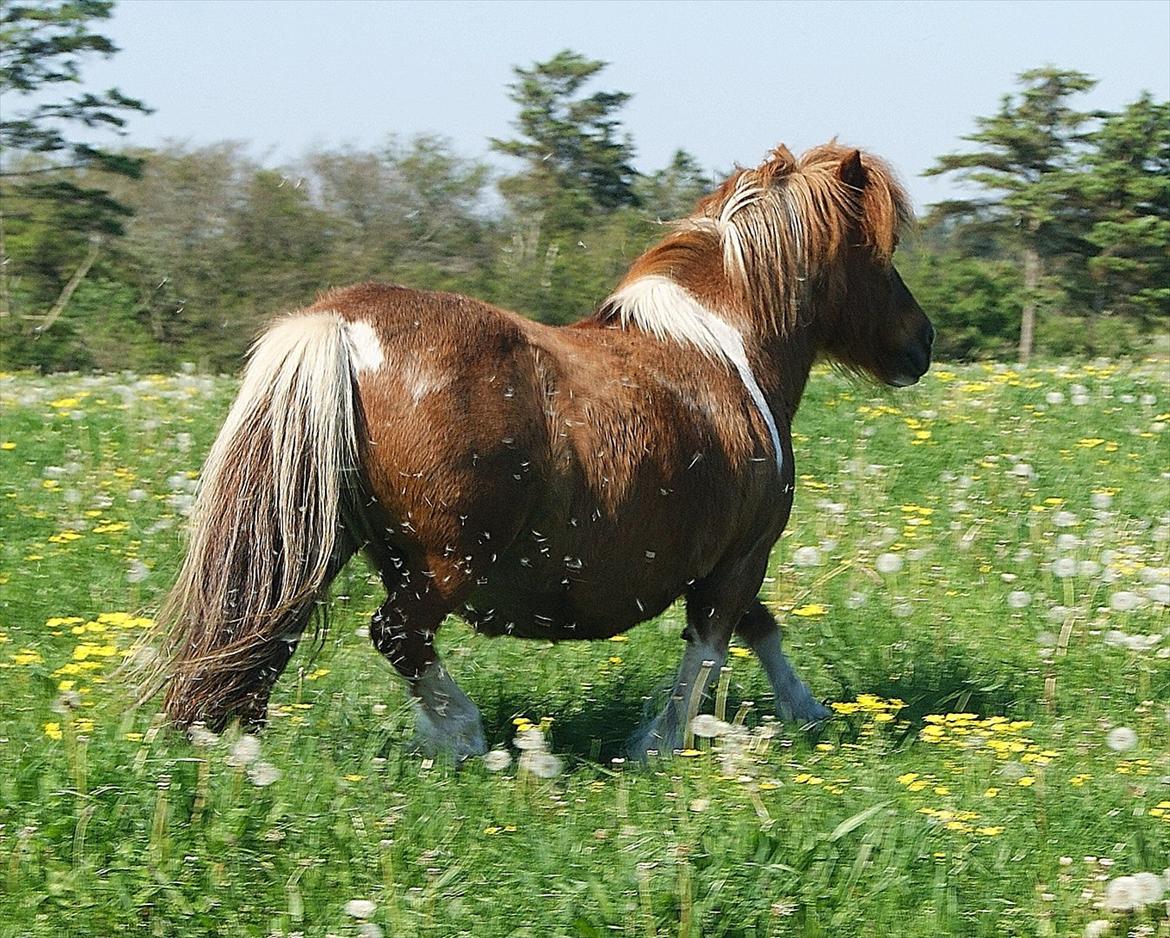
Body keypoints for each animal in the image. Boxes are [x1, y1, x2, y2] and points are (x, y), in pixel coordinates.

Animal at [148, 142, 931, 757]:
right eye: (876, 251)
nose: (921, 343)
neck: (723, 350)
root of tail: (339, 324)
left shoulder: (724, 562)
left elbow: (759, 629)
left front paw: (809, 713)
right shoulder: (740, 556)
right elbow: (711, 650)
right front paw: (659, 744)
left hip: (316, 535)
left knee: (266, 631)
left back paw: (237, 742)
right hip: (446, 561)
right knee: (397, 634)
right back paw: (462, 737)